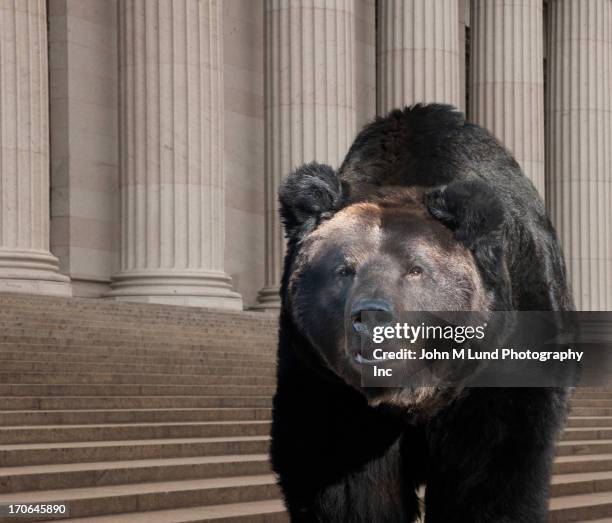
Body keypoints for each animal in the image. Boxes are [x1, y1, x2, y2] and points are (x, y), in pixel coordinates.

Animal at [270, 104, 572, 520]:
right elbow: (346, 483)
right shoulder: (325, 381)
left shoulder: (505, 357)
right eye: (344, 269)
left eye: (415, 269)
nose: (371, 318)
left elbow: (493, 466)